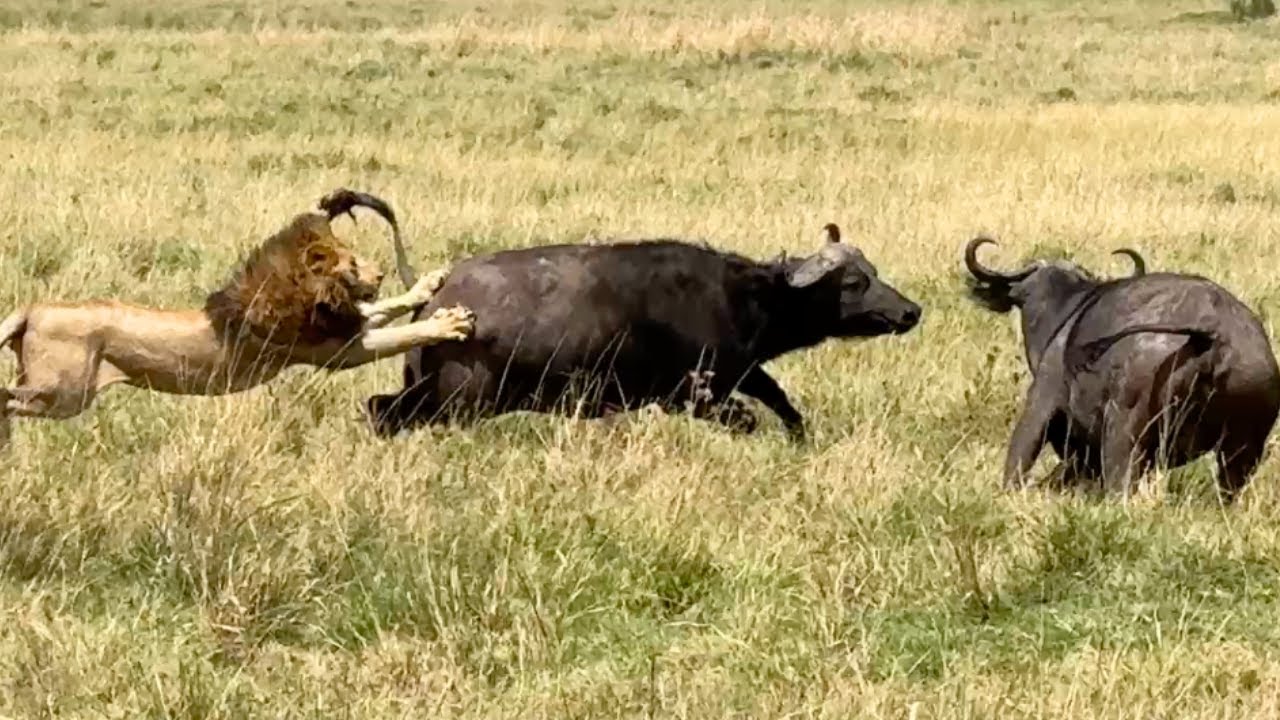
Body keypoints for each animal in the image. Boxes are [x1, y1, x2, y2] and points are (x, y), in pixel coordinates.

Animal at [0, 188, 474, 446]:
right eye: (352, 263)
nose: (379, 273)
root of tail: (31, 309)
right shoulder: (337, 352)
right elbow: (404, 333)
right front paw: (449, 322)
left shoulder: (342, 329)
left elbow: (383, 308)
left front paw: (428, 283)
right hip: (65, 391)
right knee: (8, 397)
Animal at [365, 224, 921, 440]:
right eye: (853, 283)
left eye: (872, 270)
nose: (911, 312)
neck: (737, 295)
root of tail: (435, 298)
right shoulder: (694, 395)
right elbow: (746, 417)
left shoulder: (741, 370)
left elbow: (781, 401)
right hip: (456, 402)